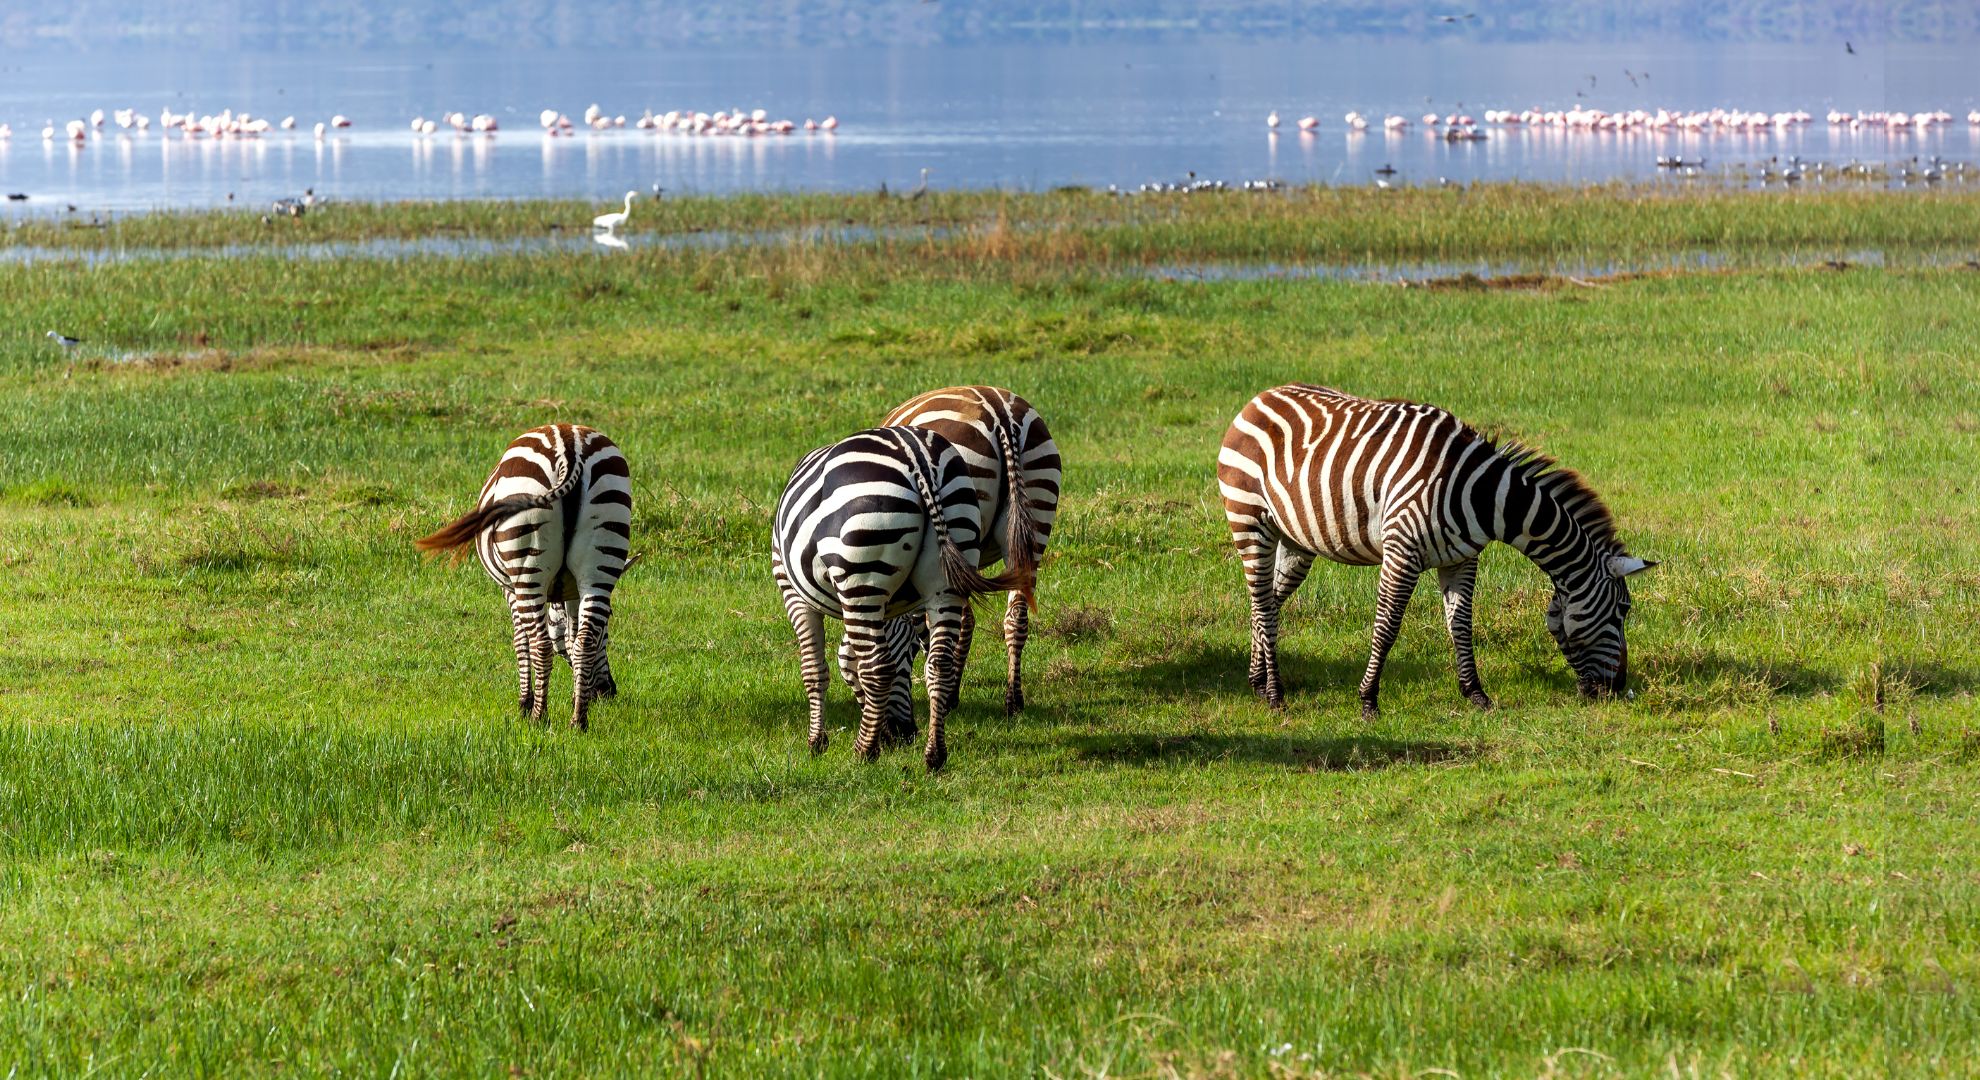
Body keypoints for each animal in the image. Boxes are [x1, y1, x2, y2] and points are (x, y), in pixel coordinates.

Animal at [417, 426, 633, 729]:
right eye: (609, 629)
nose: (608, 692)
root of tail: (569, 445)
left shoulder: (509, 589)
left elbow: (521, 640)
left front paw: (524, 703)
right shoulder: (572, 593)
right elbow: (571, 637)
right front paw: (574, 700)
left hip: (527, 564)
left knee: (541, 644)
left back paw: (538, 718)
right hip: (602, 554)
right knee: (584, 641)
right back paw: (578, 722)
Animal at [768, 426, 1029, 768]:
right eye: (910, 654)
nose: (907, 734)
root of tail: (918, 458)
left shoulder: (793, 593)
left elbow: (814, 669)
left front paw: (816, 743)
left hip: (862, 571)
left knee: (877, 667)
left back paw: (864, 750)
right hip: (947, 570)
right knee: (940, 664)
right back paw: (934, 755)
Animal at [1219, 384, 1655, 717]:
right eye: (1623, 611)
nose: (1617, 688)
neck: (1487, 497)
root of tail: (1259, 397)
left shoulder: (1462, 559)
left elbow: (1460, 625)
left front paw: (1476, 694)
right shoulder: (1402, 550)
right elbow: (1387, 626)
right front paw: (1368, 700)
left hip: (1295, 540)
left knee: (1267, 601)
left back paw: (1257, 681)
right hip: (1249, 519)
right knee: (1262, 602)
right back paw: (1275, 694)